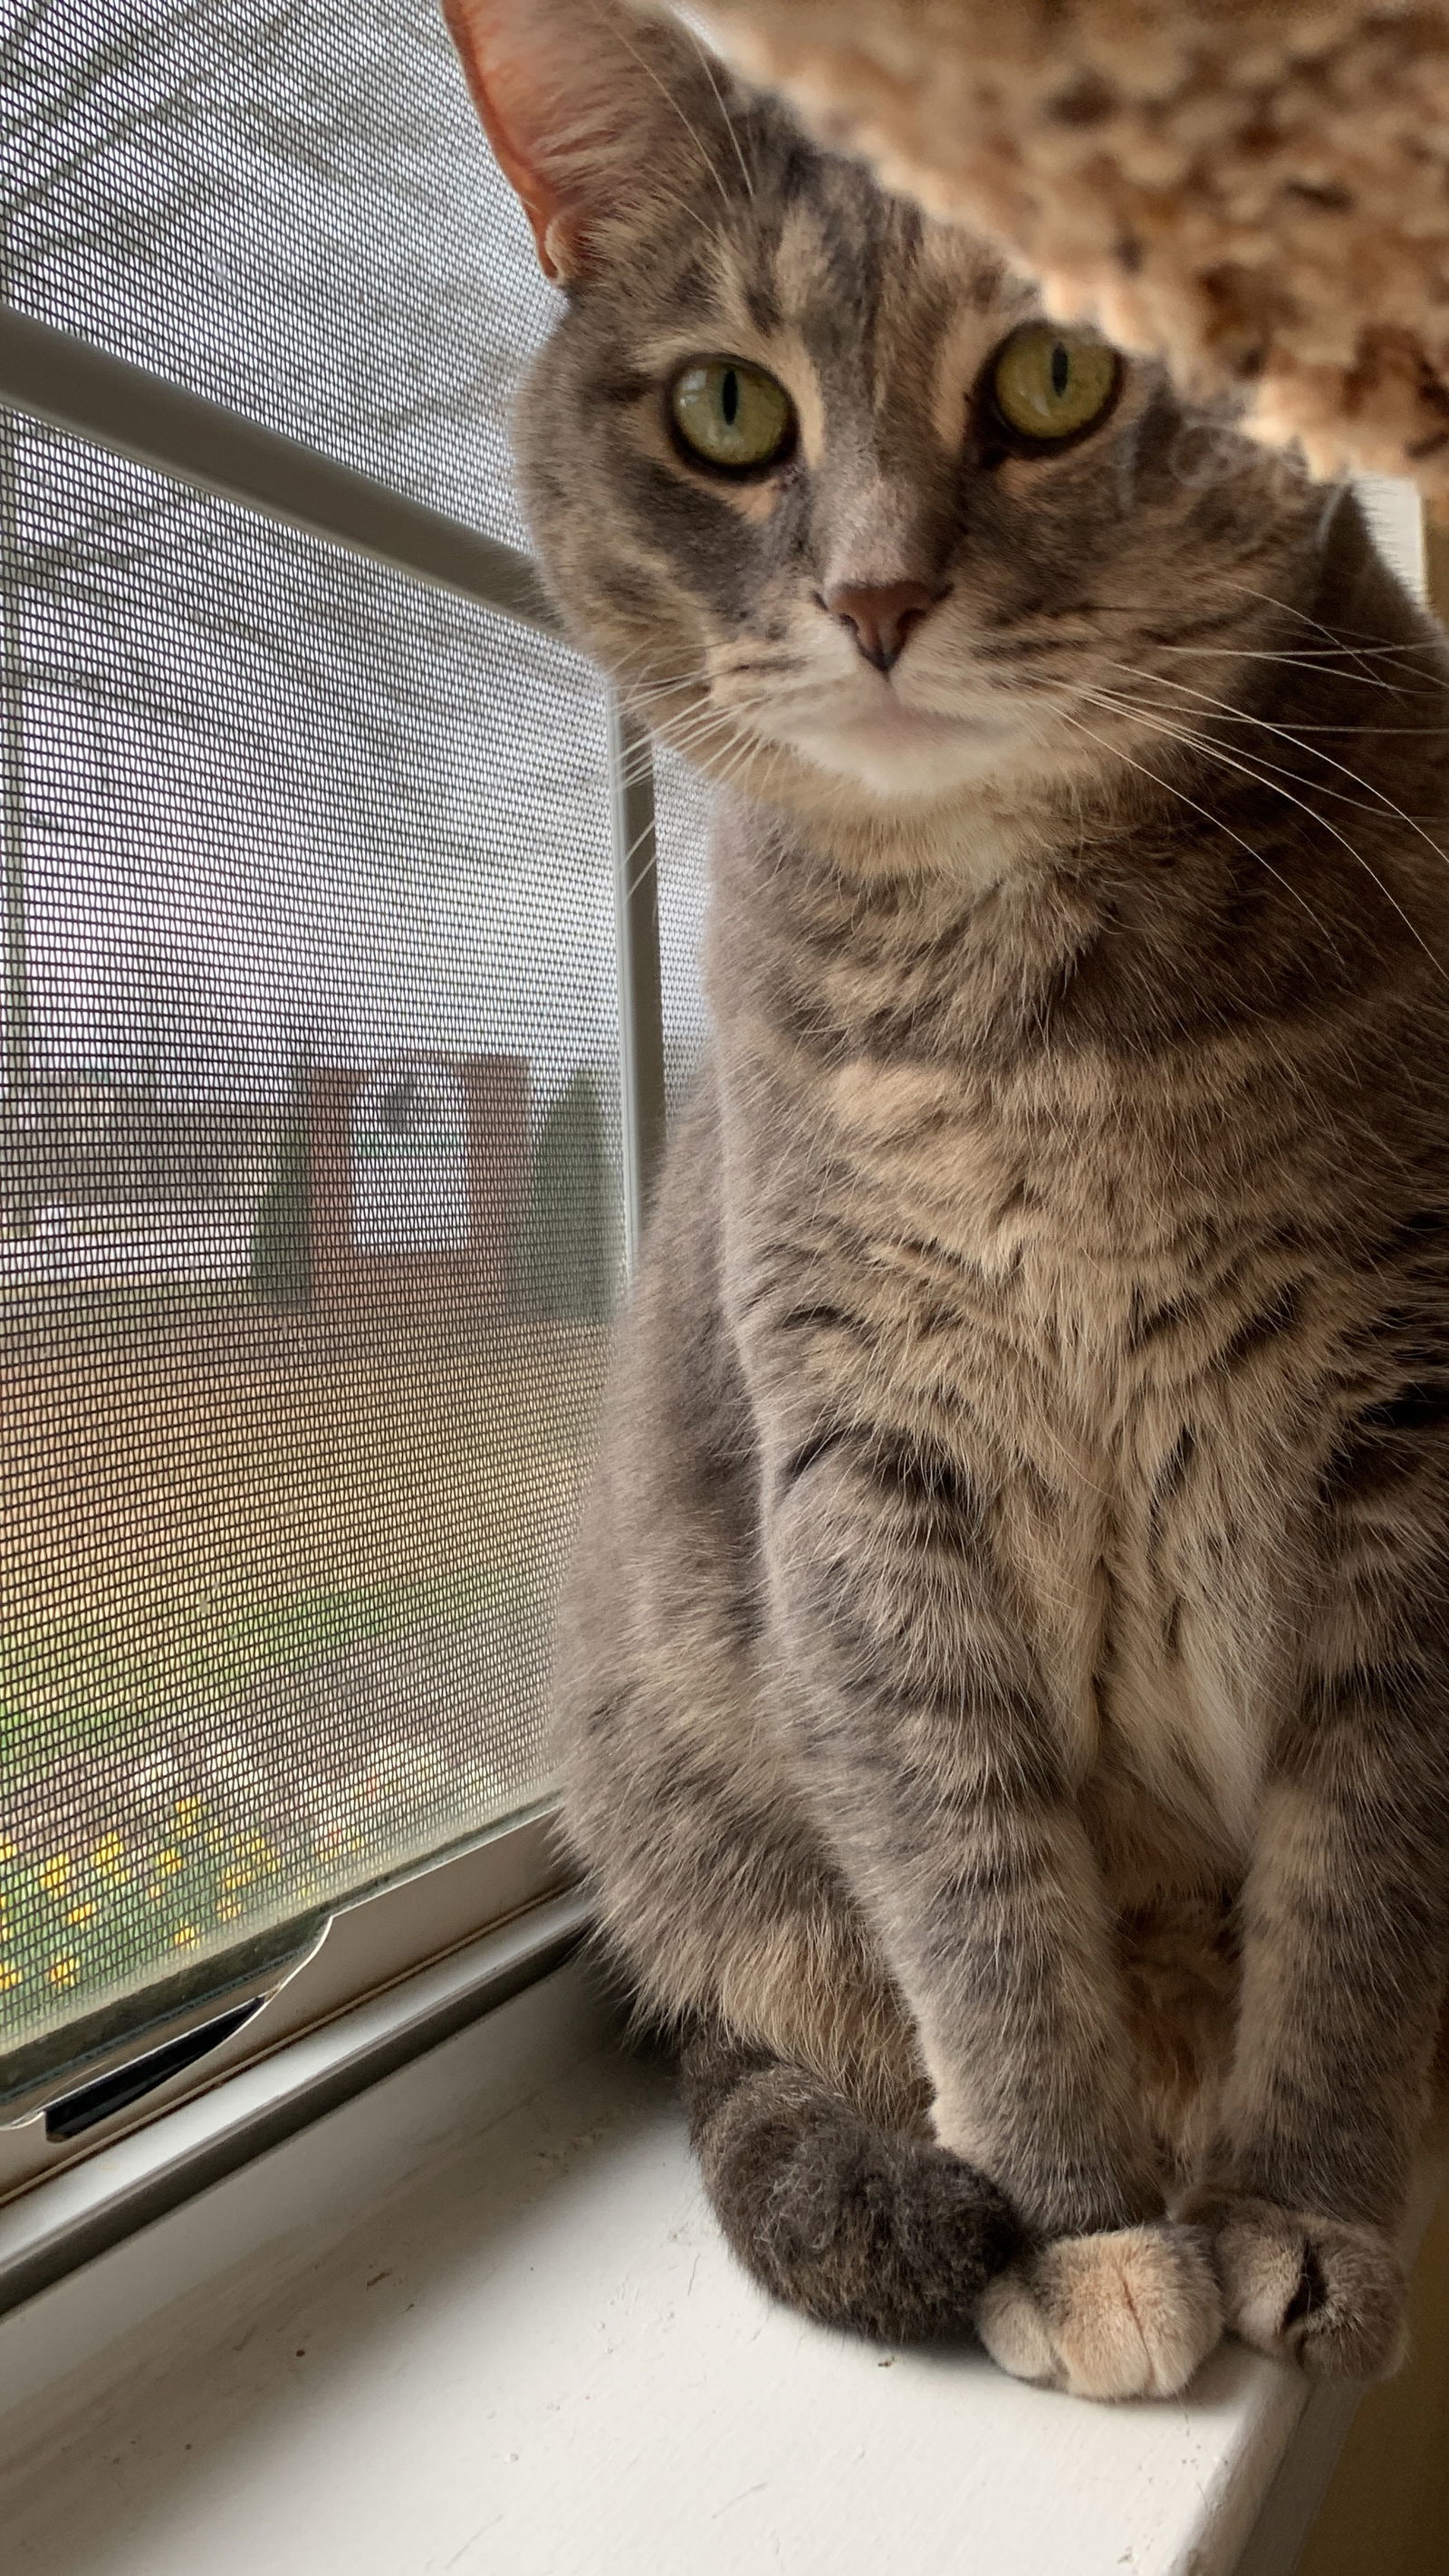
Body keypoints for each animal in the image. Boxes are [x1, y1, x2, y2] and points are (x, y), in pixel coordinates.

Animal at [447, 0, 1449, 2390]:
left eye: (1058, 373)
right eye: (728, 410)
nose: (875, 593)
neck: (1024, 1035)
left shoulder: (1401, 1443)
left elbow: (1354, 1886)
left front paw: (1303, 2207)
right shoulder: (869, 1460)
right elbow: (969, 1878)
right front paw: (1077, 2228)